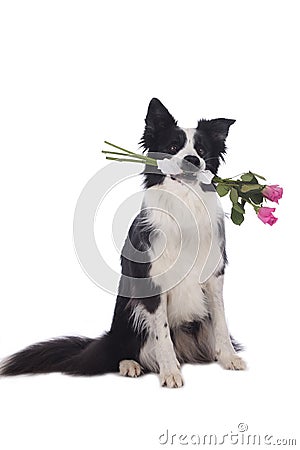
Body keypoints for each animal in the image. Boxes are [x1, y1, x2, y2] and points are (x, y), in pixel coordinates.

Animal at [0, 98, 246, 386]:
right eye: (172, 148)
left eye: (201, 150)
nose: (192, 160)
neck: (184, 201)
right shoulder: (152, 281)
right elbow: (162, 334)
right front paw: (170, 372)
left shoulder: (214, 275)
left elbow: (221, 321)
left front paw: (228, 357)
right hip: (126, 318)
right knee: (120, 352)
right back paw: (130, 364)